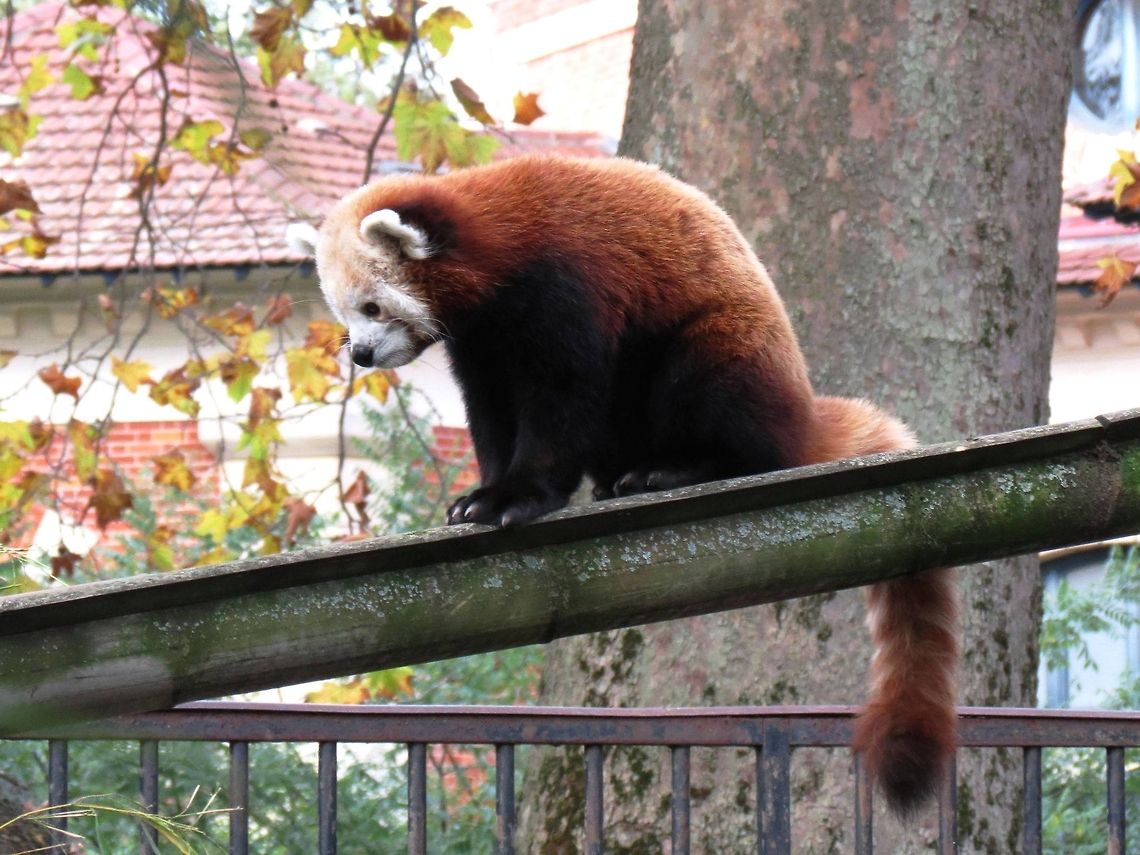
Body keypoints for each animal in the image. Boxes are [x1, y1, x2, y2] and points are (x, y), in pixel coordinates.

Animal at [290, 154, 958, 815]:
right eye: (345, 314)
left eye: (373, 307)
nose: (361, 355)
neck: (496, 245)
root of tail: (801, 412)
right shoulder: (482, 345)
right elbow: (492, 414)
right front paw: (482, 493)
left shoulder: (564, 287)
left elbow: (560, 396)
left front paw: (519, 496)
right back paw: (617, 479)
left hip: (724, 347)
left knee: (715, 398)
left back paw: (676, 468)